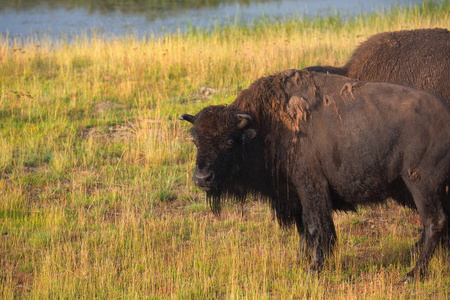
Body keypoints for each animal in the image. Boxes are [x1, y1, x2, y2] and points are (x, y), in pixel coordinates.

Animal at [179, 69, 450, 280]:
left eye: (228, 143)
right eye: (195, 141)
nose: (202, 179)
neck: (263, 125)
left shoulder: (311, 188)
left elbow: (316, 227)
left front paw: (314, 268)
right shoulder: (295, 195)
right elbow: (304, 230)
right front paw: (299, 261)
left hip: (420, 184)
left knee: (434, 222)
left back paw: (413, 274)